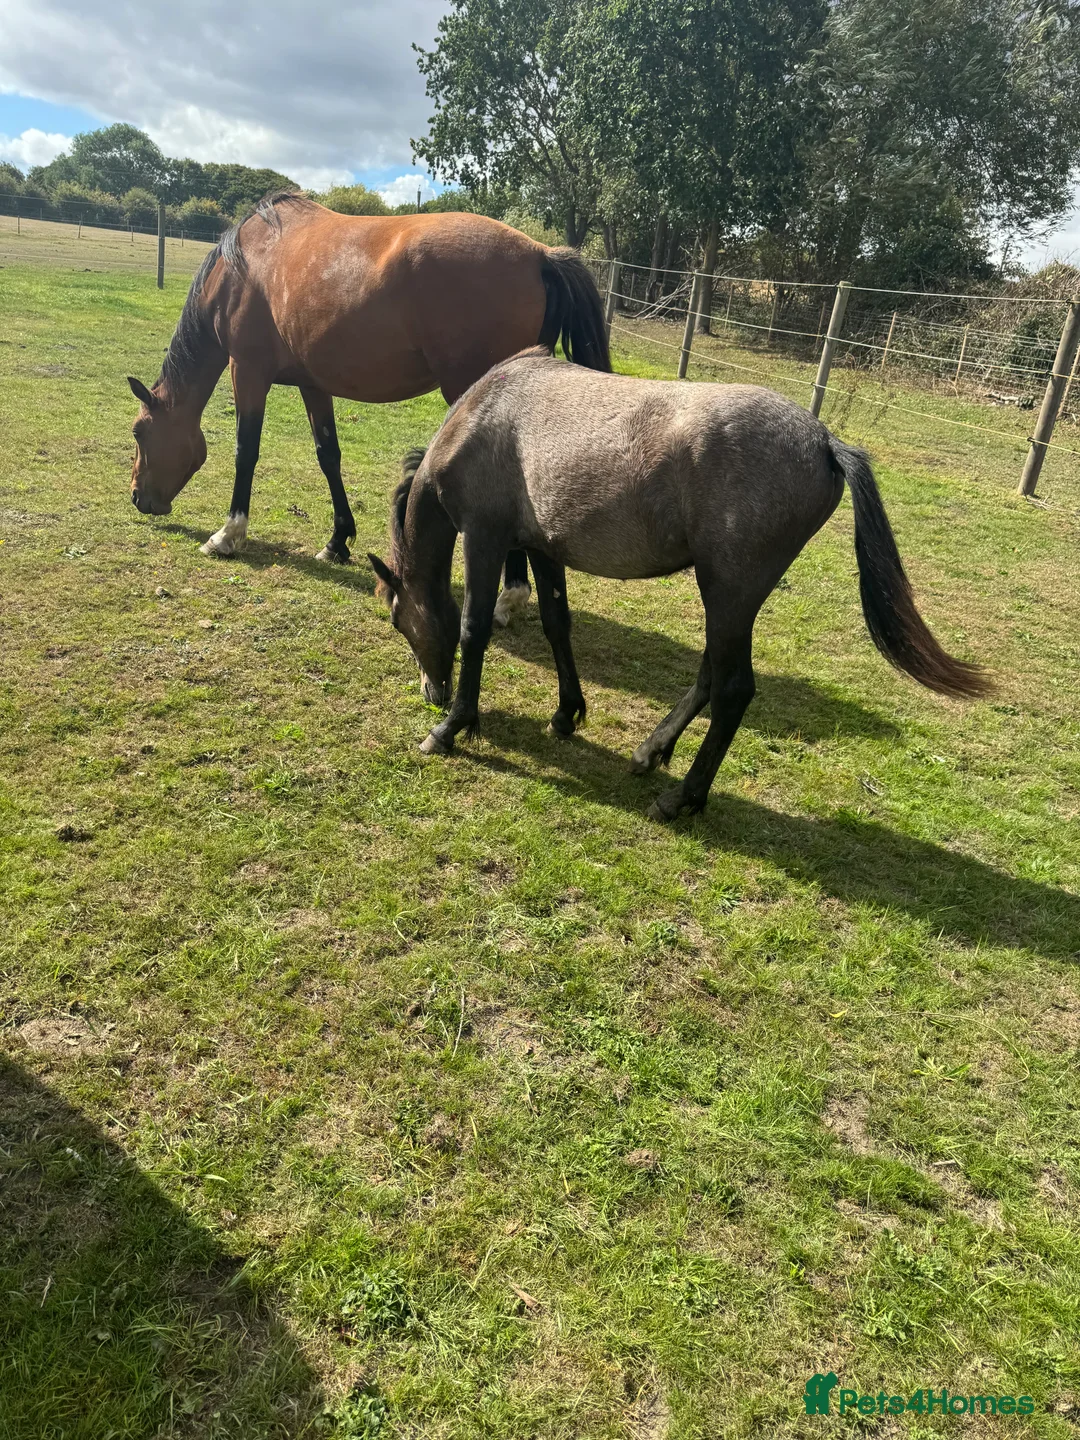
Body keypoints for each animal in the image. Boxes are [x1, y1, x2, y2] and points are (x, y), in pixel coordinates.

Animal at [126, 192, 610, 623]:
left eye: (139, 432)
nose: (137, 498)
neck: (242, 266)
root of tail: (540, 253)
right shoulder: (313, 385)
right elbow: (328, 456)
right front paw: (338, 541)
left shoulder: (247, 372)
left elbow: (246, 452)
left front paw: (228, 535)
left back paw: (509, 597)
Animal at [367, 348, 990, 822]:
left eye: (398, 619)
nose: (433, 691)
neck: (484, 413)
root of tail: (823, 442)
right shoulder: (542, 549)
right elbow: (557, 624)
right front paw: (566, 714)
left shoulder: (485, 538)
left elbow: (474, 629)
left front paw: (452, 726)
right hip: (731, 599)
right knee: (711, 676)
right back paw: (651, 751)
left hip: (728, 592)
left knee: (733, 688)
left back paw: (683, 797)